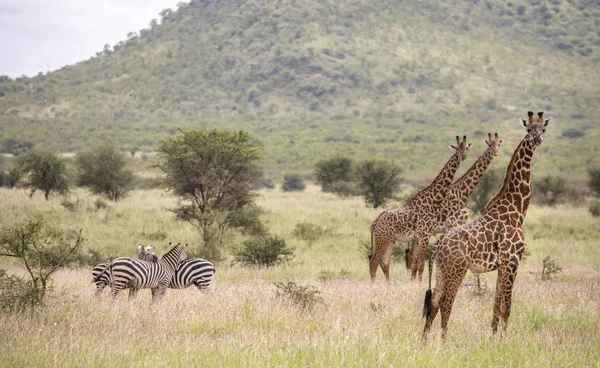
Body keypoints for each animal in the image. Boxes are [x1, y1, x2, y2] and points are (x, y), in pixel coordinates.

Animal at [368, 135, 472, 282]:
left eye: (466, 148)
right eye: (457, 148)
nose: (463, 156)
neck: (434, 199)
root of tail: (374, 223)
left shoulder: (420, 236)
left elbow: (417, 263)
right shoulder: (424, 235)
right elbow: (421, 264)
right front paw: (419, 283)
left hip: (387, 240)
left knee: (383, 261)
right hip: (383, 239)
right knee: (374, 260)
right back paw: (373, 284)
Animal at [422, 110, 552, 340]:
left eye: (542, 128)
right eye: (529, 128)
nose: (537, 139)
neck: (517, 209)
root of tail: (437, 246)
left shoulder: (501, 266)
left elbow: (496, 306)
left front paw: (493, 338)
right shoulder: (512, 261)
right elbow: (507, 306)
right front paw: (506, 339)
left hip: (441, 271)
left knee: (434, 303)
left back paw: (424, 341)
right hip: (456, 270)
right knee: (446, 304)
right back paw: (444, 341)